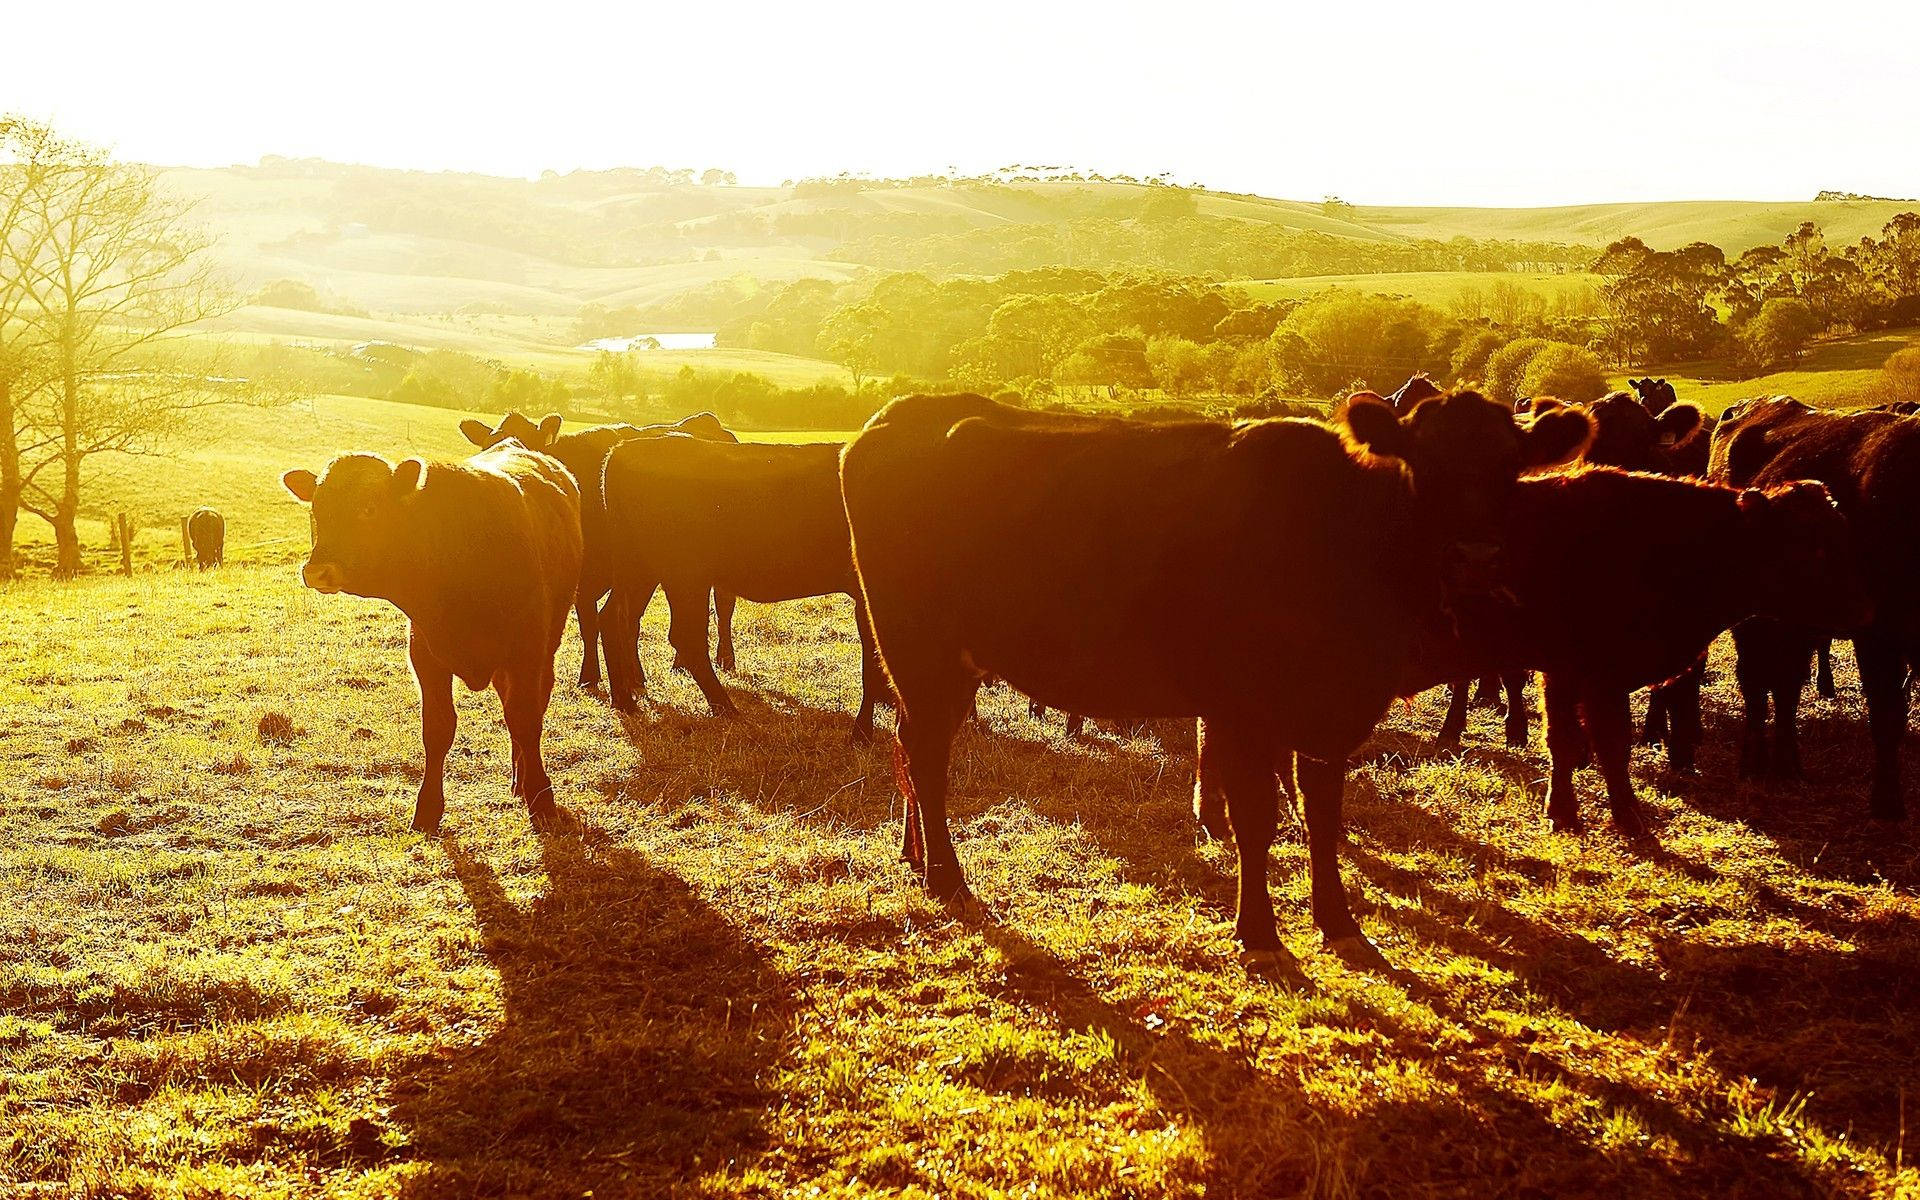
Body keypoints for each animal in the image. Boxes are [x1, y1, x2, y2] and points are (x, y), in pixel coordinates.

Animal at [278, 441, 576, 833]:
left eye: (369, 508)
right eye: (316, 510)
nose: (317, 571)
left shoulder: (526, 651)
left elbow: (526, 721)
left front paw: (542, 799)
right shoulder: (426, 657)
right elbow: (437, 730)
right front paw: (428, 809)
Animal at [460, 410, 737, 691]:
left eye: (528, 447)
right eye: (487, 447)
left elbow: (622, 623)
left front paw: (620, 675)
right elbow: (594, 626)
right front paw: (600, 675)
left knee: (723, 608)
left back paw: (725, 659)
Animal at [599, 426, 883, 733]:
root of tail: (624, 449)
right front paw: (865, 728)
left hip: (641, 571)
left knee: (614, 618)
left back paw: (624, 699)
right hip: (684, 576)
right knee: (684, 637)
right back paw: (725, 708)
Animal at [848, 387, 1597, 960]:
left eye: (1510, 470)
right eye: (1424, 465)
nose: (1475, 556)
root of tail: (902, 412)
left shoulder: (1326, 711)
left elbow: (1323, 814)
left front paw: (1339, 922)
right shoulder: (1244, 706)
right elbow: (1257, 819)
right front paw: (1259, 932)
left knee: (912, 747)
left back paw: (917, 859)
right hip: (919, 648)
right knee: (926, 755)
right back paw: (948, 878)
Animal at [1704, 397, 1912, 817]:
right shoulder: (1877, 633)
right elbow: (1887, 715)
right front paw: (1886, 803)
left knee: (1786, 686)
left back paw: (1788, 765)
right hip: (1752, 623)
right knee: (1755, 683)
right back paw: (1754, 763)